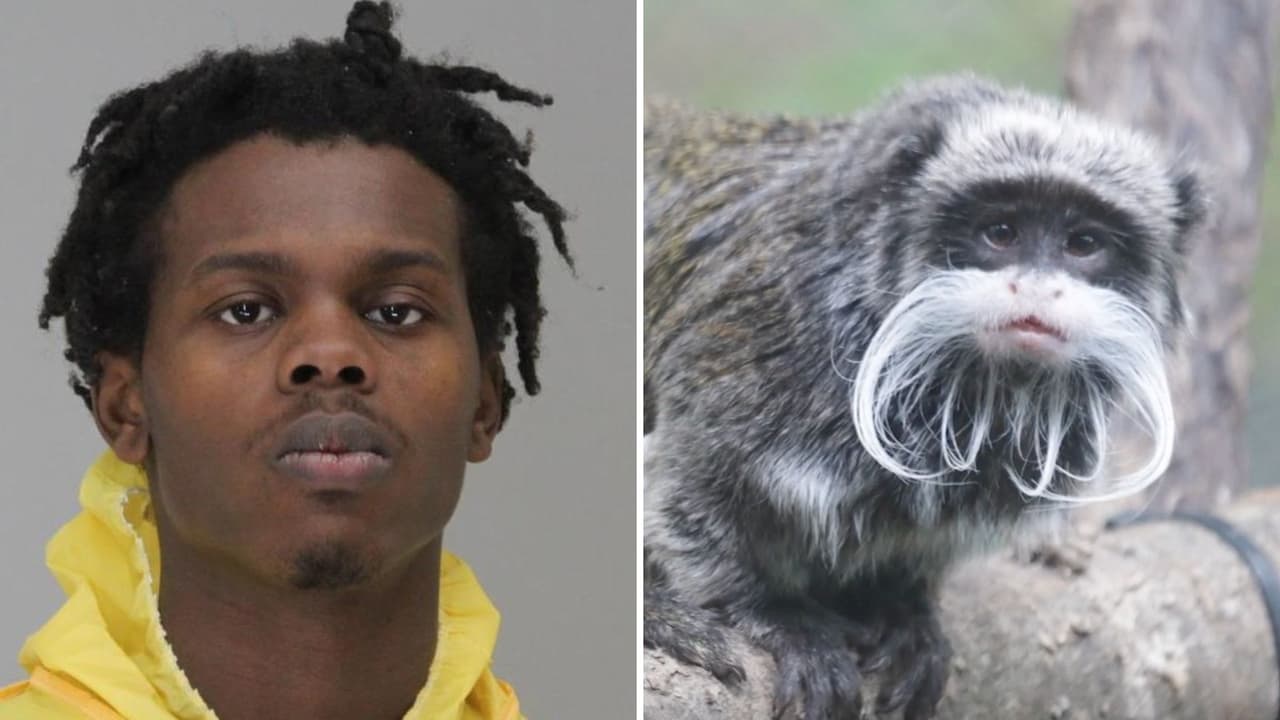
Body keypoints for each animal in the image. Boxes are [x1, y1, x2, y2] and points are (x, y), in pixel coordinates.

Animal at [643, 74, 1204, 720]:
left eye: (1083, 243)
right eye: (1001, 233)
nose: (1038, 287)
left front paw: (900, 607)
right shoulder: (752, 340)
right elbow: (687, 490)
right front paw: (774, 612)